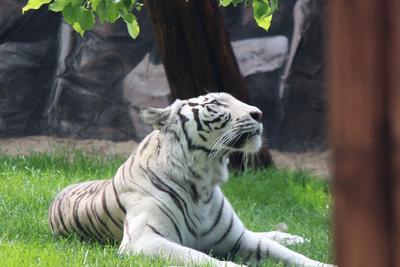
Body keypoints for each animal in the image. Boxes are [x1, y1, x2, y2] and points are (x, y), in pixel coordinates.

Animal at [47, 93, 334, 266]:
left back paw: (294, 237)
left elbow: (291, 256)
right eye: (215, 104)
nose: (259, 113)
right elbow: (206, 259)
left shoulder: (240, 238)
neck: (203, 182)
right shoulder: (144, 240)